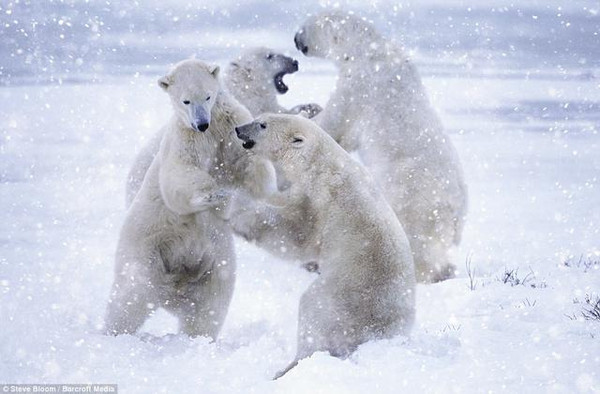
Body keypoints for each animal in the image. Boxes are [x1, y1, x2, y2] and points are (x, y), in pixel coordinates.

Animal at [106, 59, 276, 338]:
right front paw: (215, 194)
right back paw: (114, 331)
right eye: (185, 101)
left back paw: (198, 336)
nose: (201, 123)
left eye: (207, 96)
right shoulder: (184, 137)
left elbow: (250, 163)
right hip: (147, 246)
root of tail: (173, 285)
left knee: (210, 304)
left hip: (214, 259)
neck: (212, 127)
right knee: (132, 292)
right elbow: (179, 173)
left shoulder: (231, 125)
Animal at [236, 114, 418, 378]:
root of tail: (376, 334)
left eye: (262, 125)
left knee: (313, 315)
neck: (320, 163)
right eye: (258, 119)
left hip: (339, 298)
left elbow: (294, 235)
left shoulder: (319, 200)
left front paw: (235, 207)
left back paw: (287, 366)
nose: (238, 130)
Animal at [296, 11, 468, 284]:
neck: (370, 49)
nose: (296, 39)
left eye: (307, 27)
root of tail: (457, 214)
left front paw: (306, 114)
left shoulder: (359, 84)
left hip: (414, 196)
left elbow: (336, 122)